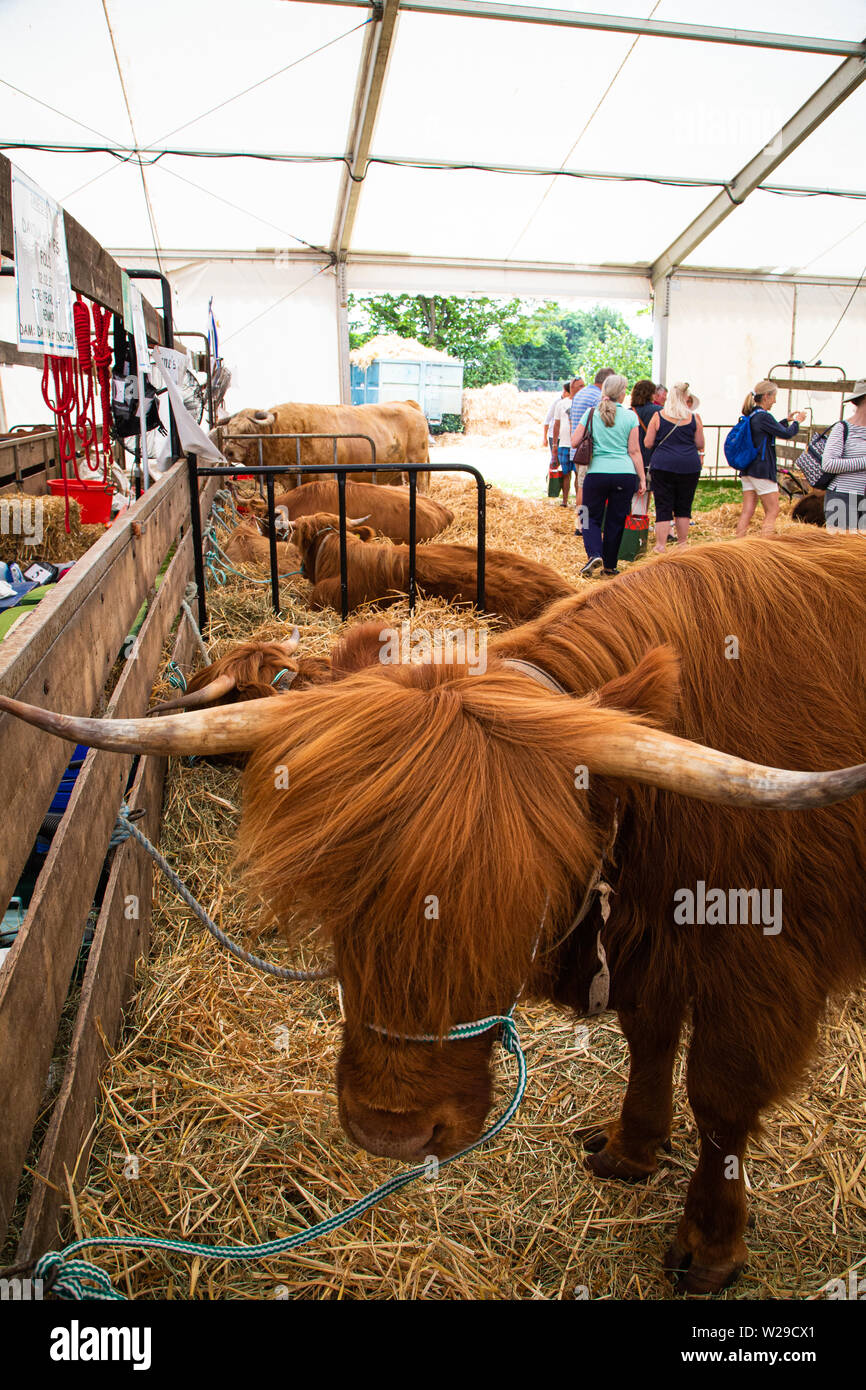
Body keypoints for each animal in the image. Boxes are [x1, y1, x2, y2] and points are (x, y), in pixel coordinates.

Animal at [6, 530, 866, 1289]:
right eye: (332, 893)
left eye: (521, 900)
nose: (391, 1132)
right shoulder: (649, 947)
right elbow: (648, 1040)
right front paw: (631, 1149)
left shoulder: (761, 971)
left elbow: (719, 1102)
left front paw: (709, 1248)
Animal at [219, 403, 430, 489]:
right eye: (230, 428)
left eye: (248, 428)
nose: (228, 451)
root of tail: (412, 408)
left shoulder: (326, 475)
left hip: (416, 462)